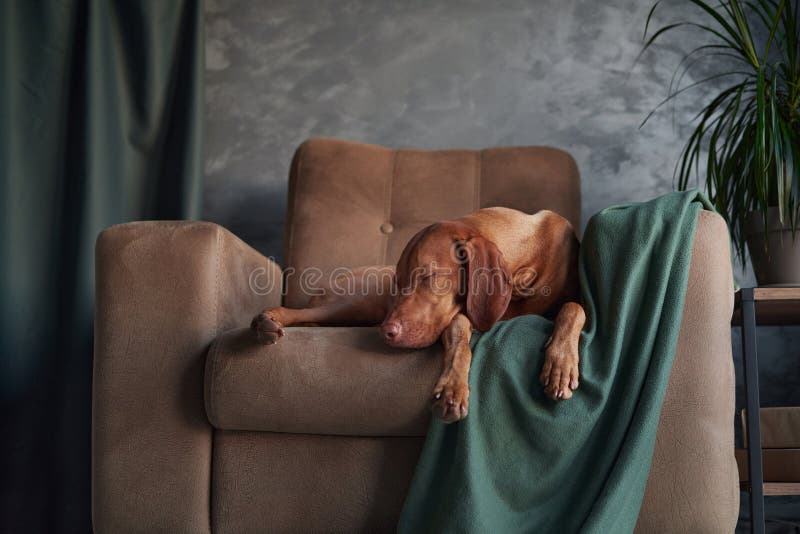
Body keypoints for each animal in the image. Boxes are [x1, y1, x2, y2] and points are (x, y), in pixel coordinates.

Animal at [253, 207, 584, 426]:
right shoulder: (460, 315)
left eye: (429, 276)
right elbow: (460, 338)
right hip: (360, 301)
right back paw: (266, 322)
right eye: (400, 280)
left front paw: (560, 364)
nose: (386, 332)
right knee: (304, 312)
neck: (523, 266)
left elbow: (573, 308)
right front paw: (452, 387)